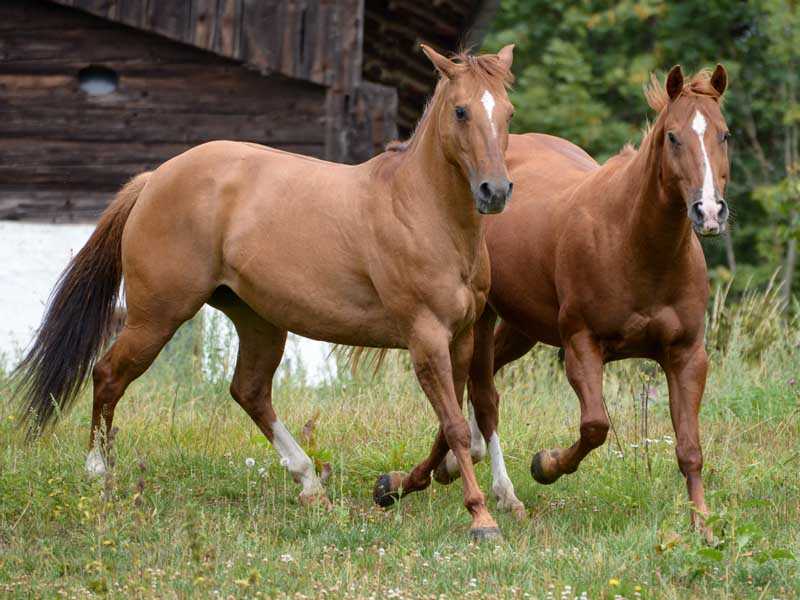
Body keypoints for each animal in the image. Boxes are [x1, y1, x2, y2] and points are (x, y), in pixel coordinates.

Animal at [18, 45, 520, 540]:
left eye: (508, 112)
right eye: (460, 111)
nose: (494, 191)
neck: (422, 211)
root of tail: (155, 178)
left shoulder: (461, 338)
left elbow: (459, 431)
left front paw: (397, 486)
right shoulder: (426, 337)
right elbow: (456, 428)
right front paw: (481, 518)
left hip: (257, 320)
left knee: (249, 390)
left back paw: (310, 483)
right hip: (156, 317)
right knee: (108, 375)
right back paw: (98, 472)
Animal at [424, 65, 732, 540]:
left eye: (724, 134)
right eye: (673, 137)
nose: (709, 212)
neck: (633, 243)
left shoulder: (686, 356)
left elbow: (690, 448)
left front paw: (703, 525)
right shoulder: (581, 345)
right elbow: (595, 426)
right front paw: (545, 464)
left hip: (521, 329)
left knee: (476, 389)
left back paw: (448, 468)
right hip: (480, 321)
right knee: (475, 392)